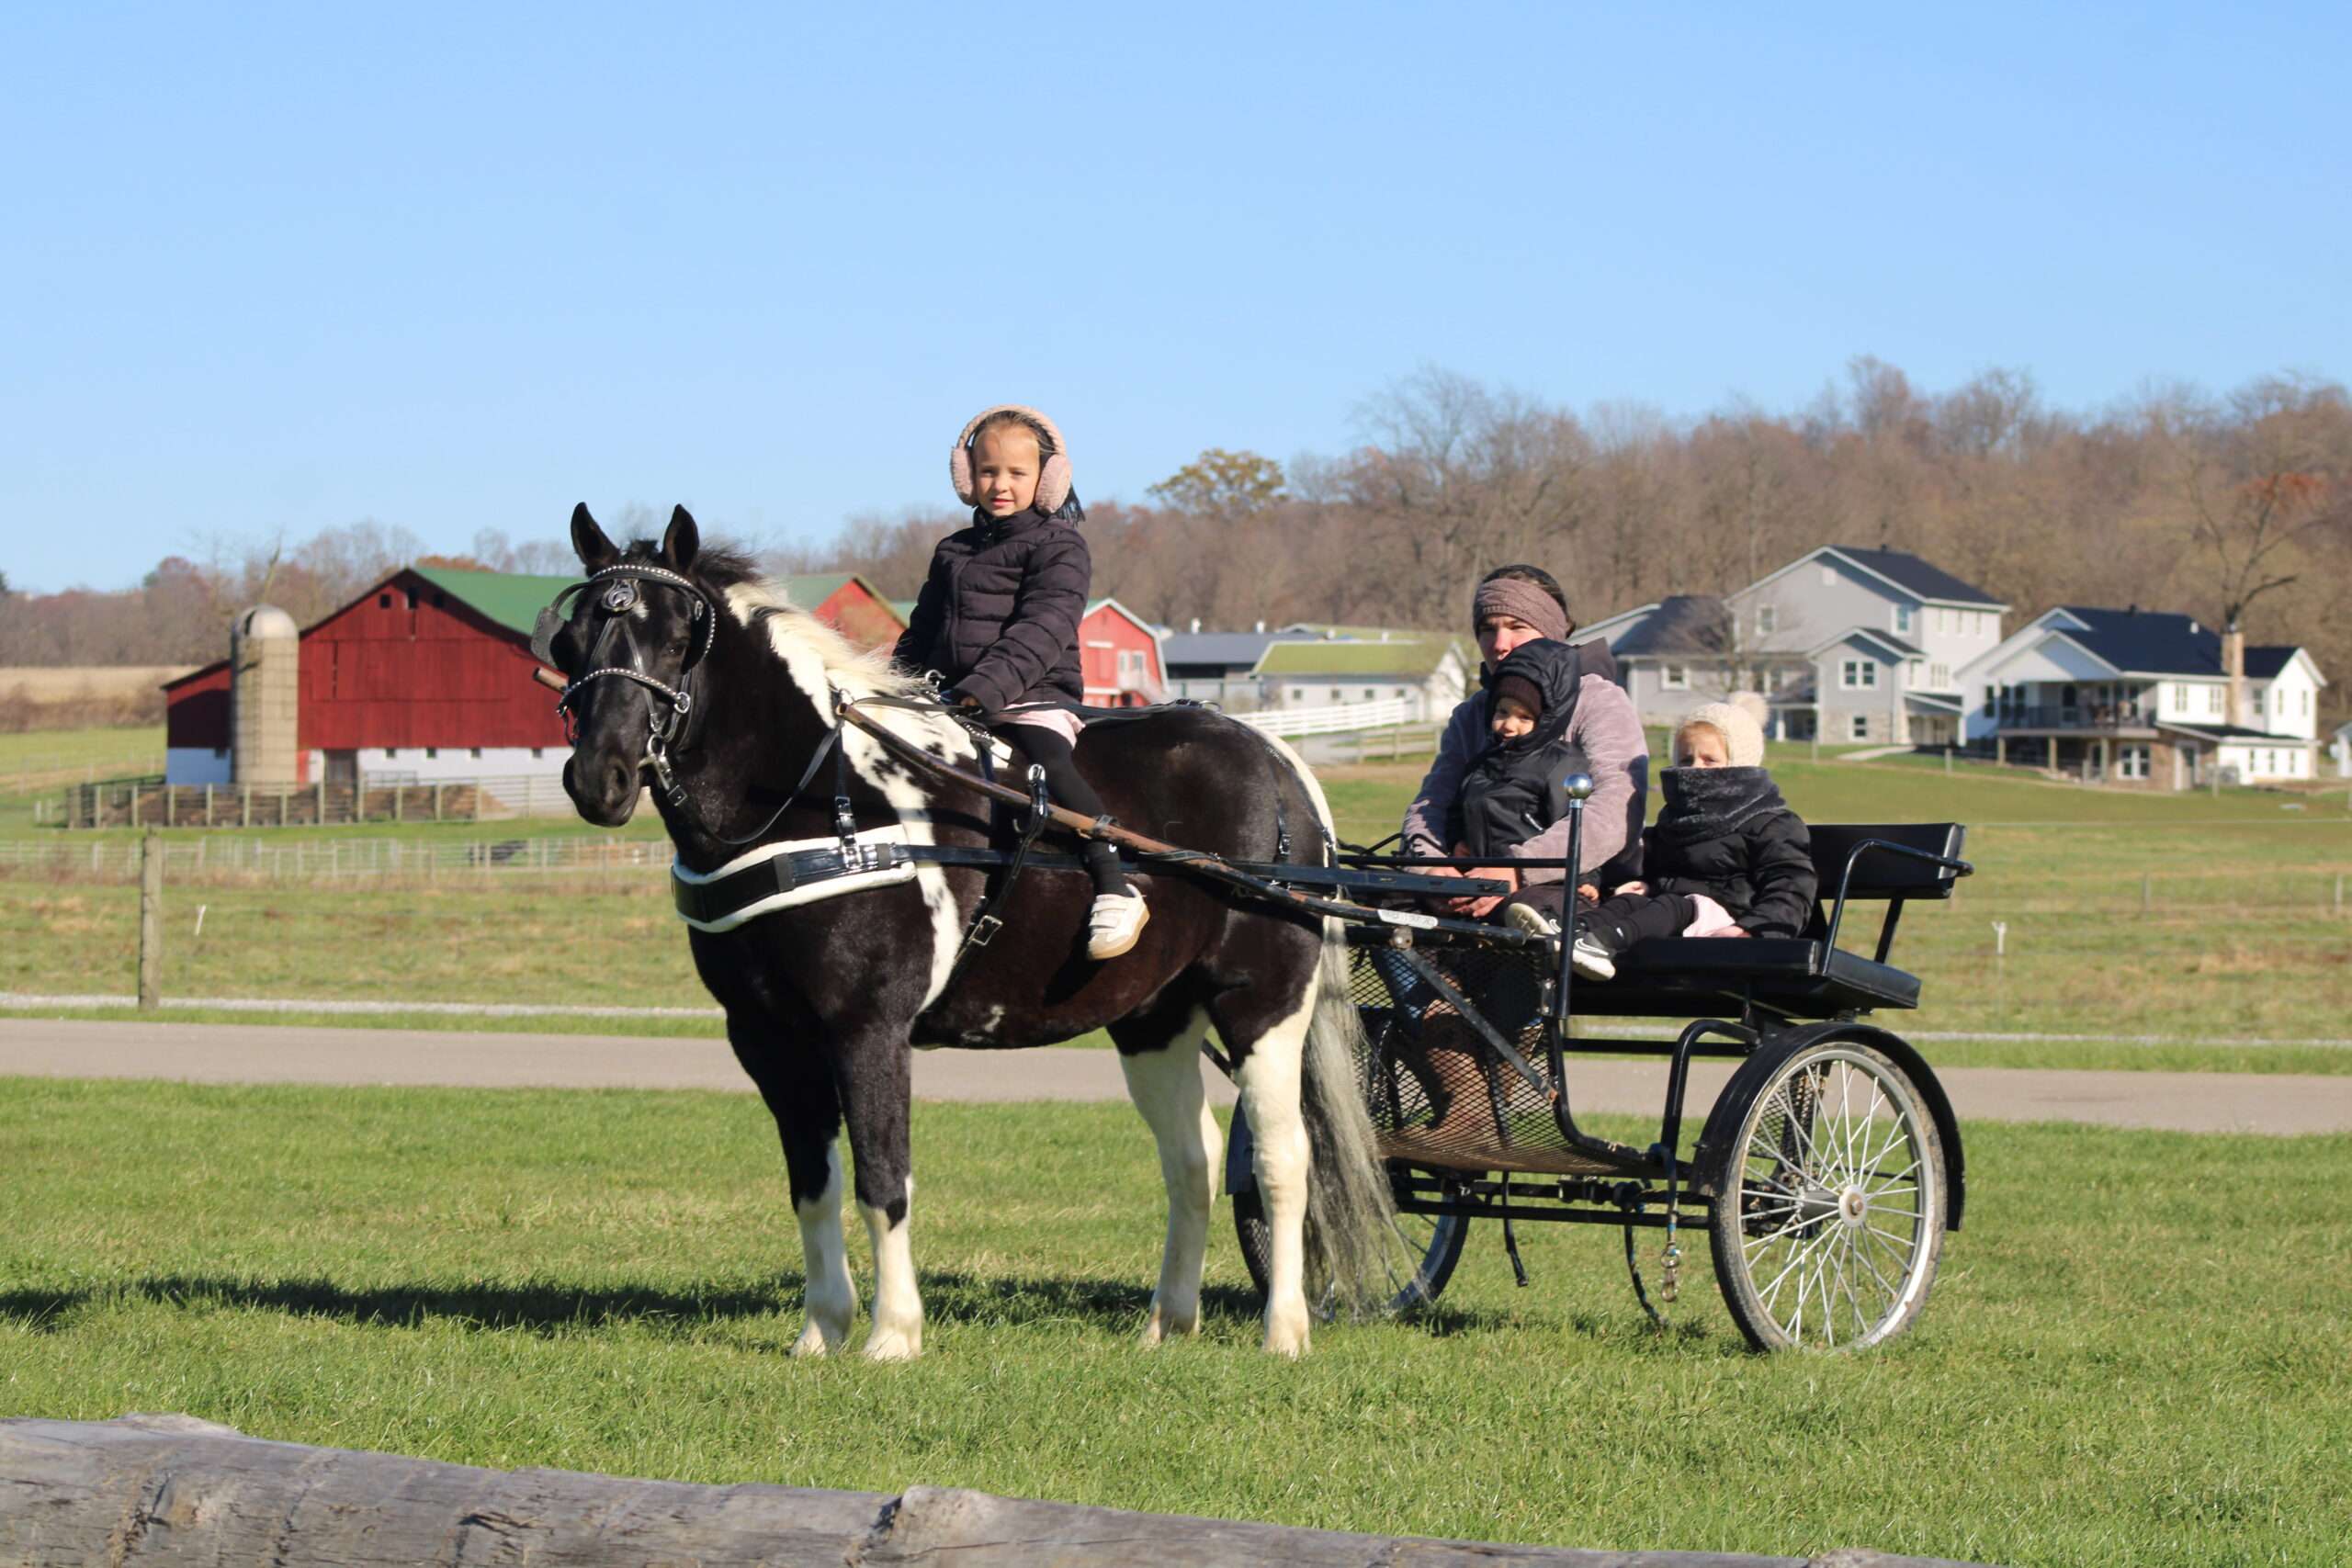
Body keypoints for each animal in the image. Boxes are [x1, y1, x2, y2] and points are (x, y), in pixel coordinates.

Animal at [545, 503, 1397, 1357]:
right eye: (570, 640)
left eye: (677, 636)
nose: (598, 777)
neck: (827, 799)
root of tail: (1278, 761)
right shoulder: (766, 1037)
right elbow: (812, 1186)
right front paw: (821, 1328)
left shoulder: (867, 1026)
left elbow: (883, 1179)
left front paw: (893, 1332)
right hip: (1154, 1019)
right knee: (1193, 1158)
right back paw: (1168, 1317)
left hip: (1262, 1008)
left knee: (1286, 1159)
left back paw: (1283, 1327)